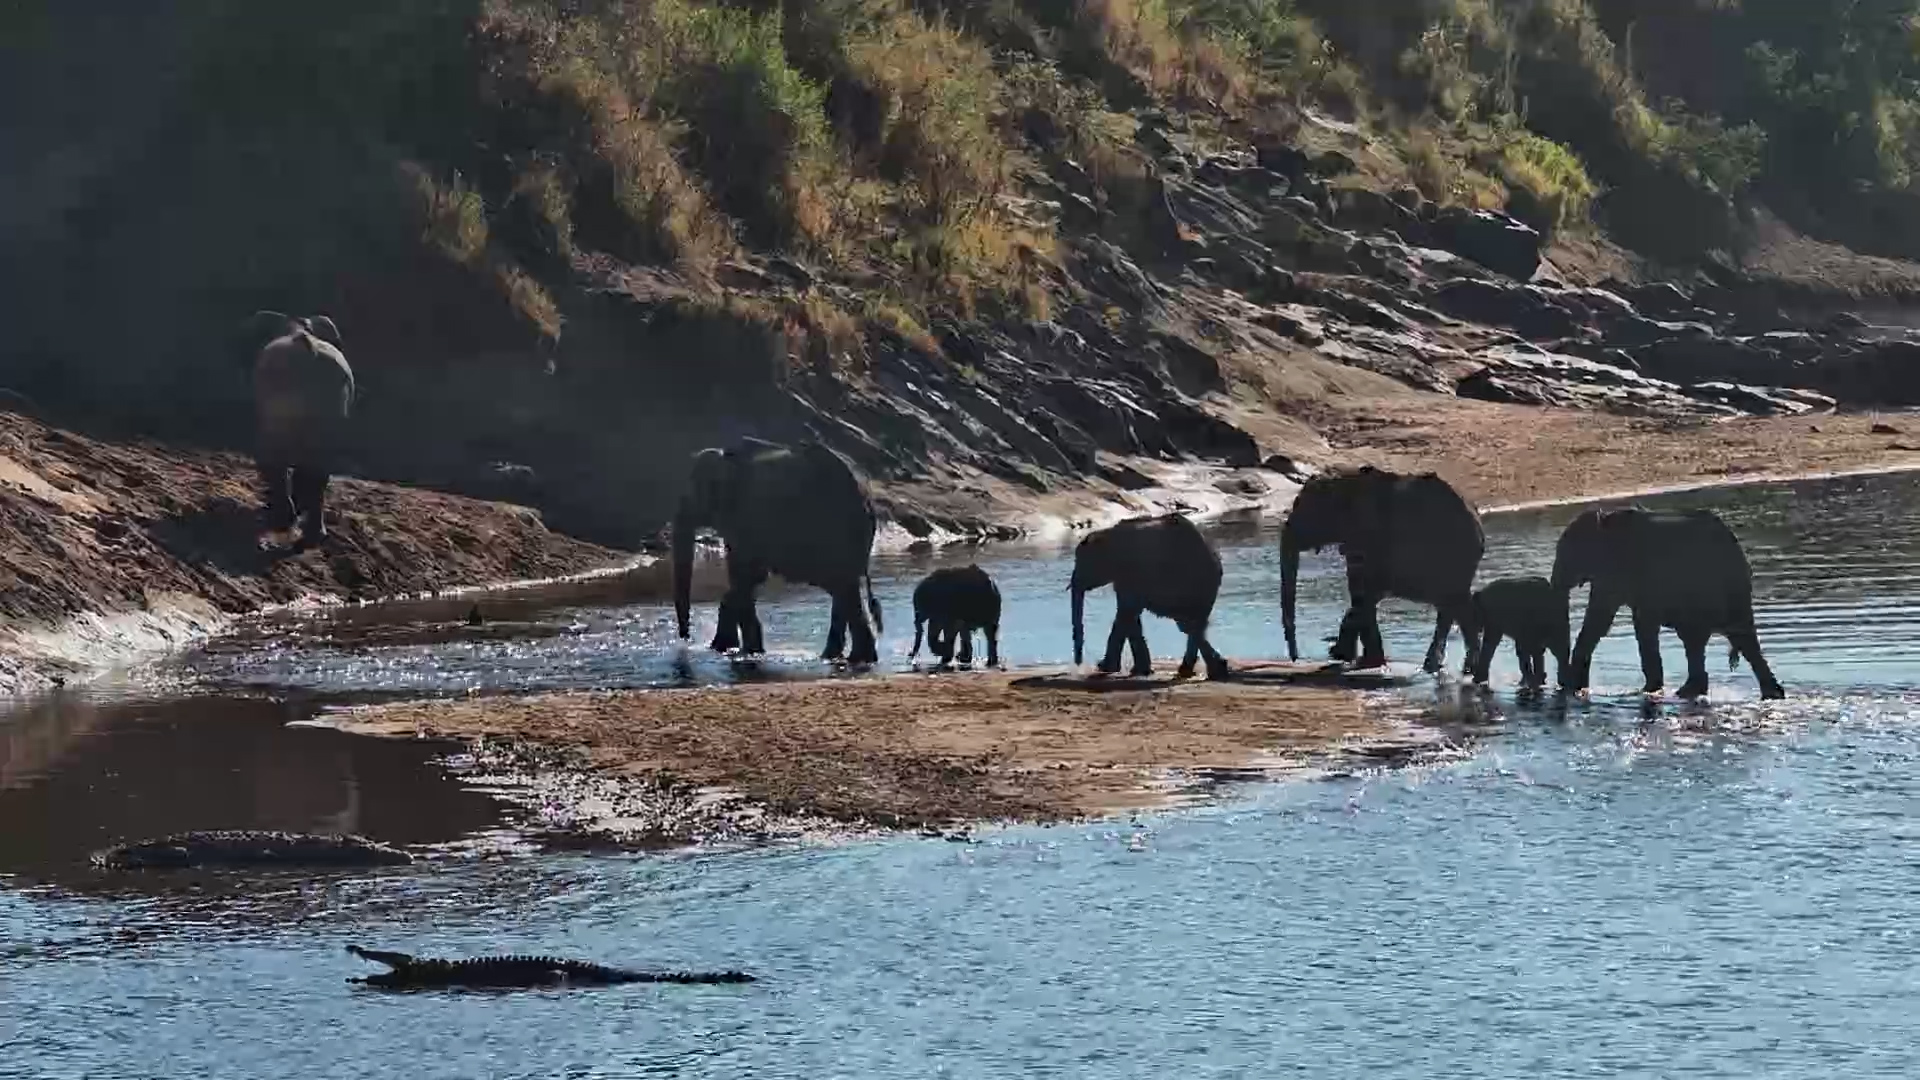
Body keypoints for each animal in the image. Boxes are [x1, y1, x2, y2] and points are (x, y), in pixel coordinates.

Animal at [238, 310, 355, 550]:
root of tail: (308, 349)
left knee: (272, 456)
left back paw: (282, 519)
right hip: (333, 405)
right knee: (319, 469)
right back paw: (313, 534)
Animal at [671, 436, 884, 665]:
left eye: (691, 495)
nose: (686, 637)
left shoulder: (745, 517)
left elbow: (746, 576)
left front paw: (734, 650)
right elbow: (747, 580)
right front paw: (737, 650)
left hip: (836, 531)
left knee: (844, 590)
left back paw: (853, 659)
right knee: (844, 591)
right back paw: (841, 658)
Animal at [1069, 512, 1229, 680]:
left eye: (1082, 563)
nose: (1078, 665)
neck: (1107, 534)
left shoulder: (1130, 570)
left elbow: (1127, 611)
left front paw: (1105, 667)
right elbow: (1130, 614)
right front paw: (1140, 671)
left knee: (1188, 625)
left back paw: (1213, 670)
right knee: (1193, 625)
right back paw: (1196, 671)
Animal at [1280, 465, 1484, 674]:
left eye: (1305, 512)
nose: (1295, 659)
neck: (1345, 481)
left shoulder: (1371, 538)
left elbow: (1365, 593)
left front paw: (1348, 657)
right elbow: (1362, 594)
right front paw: (1355, 659)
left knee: (1452, 606)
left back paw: (1447, 667)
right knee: (1455, 606)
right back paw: (1457, 667)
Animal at [1551, 504, 1785, 700]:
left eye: (1566, 552)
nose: (1563, 683)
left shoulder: (1621, 570)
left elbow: (1606, 619)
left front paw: (1649, 692)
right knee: (1720, 640)